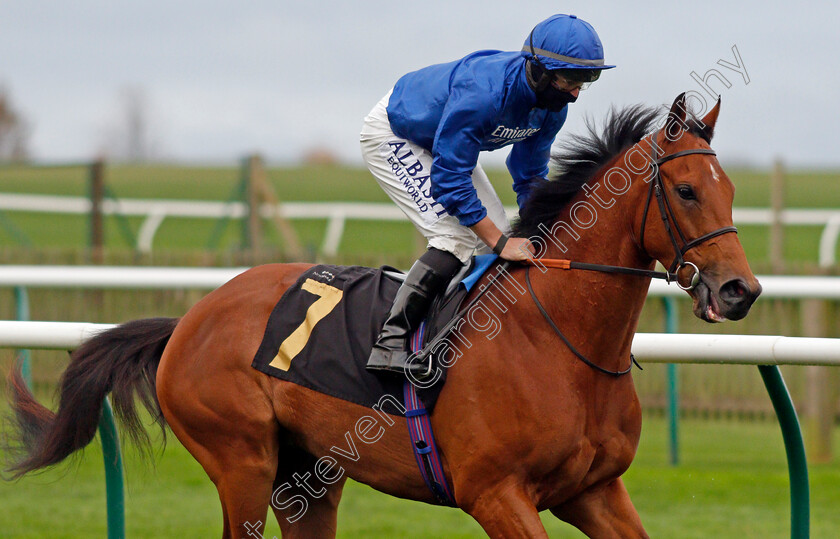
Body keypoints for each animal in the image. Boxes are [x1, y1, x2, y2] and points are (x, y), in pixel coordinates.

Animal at [3, 95, 760, 536]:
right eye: (686, 190)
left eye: (730, 189)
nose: (739, 291)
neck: (559, 341)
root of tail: (189, 319)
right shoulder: (496, 493)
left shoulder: (596, 490)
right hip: (241, 460)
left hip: (306, 477)